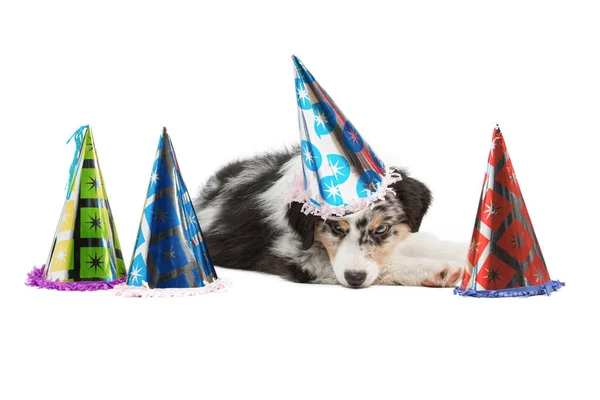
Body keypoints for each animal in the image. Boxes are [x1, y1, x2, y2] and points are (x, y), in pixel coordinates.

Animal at [195, 147, 466, 288]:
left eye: (381, 230)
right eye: (336, 228)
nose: (355, 280)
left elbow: (420, 240)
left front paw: (463, 251)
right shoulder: (296, 257)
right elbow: (387, 264)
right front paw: (438, 270)